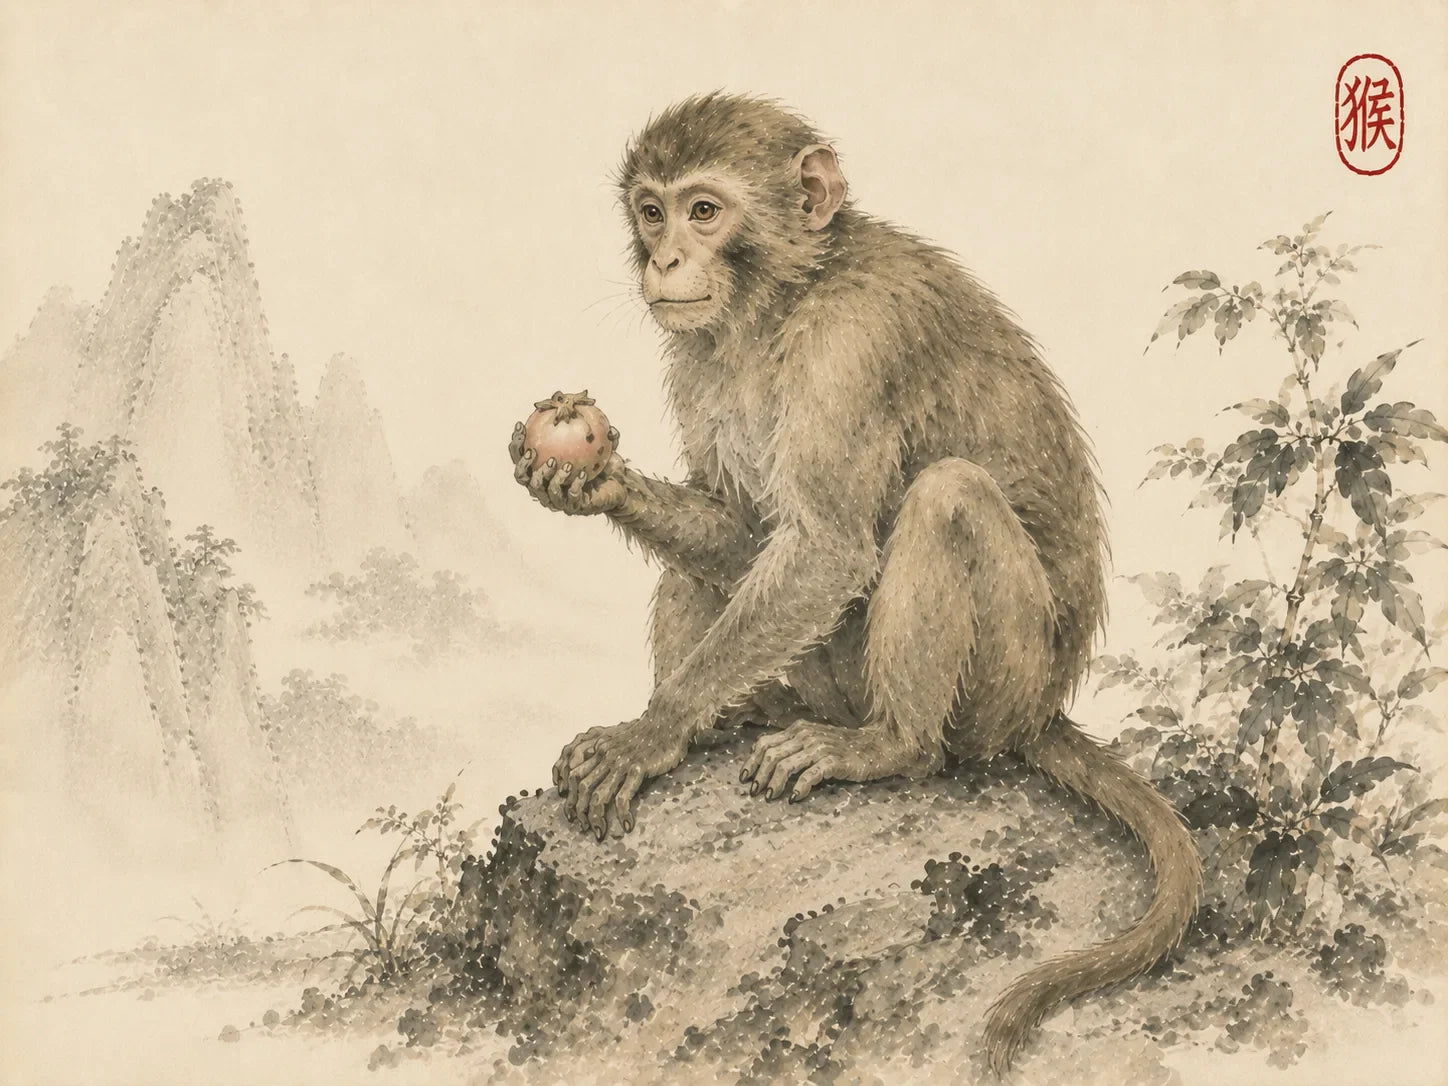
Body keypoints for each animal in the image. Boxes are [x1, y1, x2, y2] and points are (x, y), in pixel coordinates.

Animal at [506, 93, 1202, 1073]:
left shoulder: (854, 345)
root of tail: (1042, 711)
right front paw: (597, 483)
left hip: (998, 692)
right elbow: (745, 529)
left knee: (948, 497)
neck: (781, 301)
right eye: (651, 211)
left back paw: (889, 746)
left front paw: (651, 733)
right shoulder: (700, 354)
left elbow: (829, 548)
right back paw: (731, 715)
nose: (664, 261)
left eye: (704, 211)